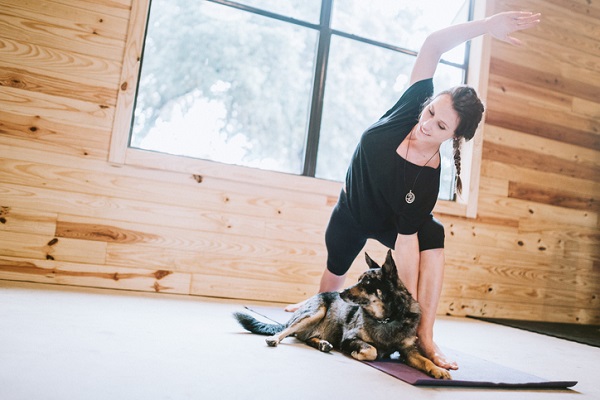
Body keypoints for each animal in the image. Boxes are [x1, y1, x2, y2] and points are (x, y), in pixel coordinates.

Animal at [232, 248, 452, 380]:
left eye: (367, 282)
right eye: (359, 279)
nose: (341, 293)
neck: (386, 319)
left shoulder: (409, 351)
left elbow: (424, 360)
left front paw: (438, 369)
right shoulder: (350, 338)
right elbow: (371, 351)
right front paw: (359, 353)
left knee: (306, 338)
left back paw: (322, 344)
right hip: (315, 312)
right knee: (288, 331)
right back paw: (277, 338)